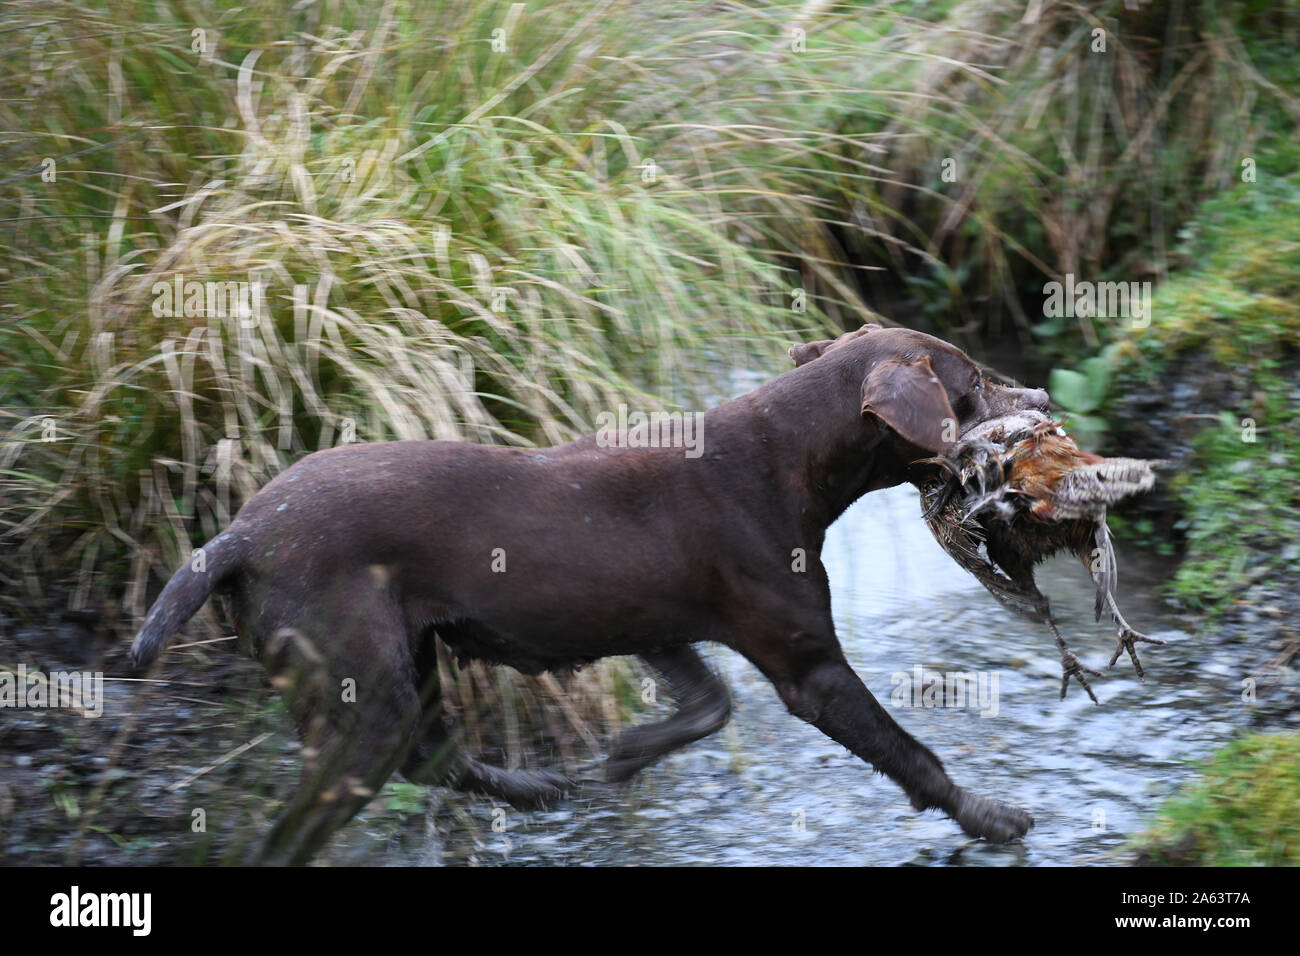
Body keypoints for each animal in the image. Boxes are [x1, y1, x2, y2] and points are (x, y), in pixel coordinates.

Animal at [131, 325, 1045, 863]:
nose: (1038, 397)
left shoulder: (652, 623)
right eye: (975, 383)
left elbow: (709, 703)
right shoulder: (807, 666)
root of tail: (237, 535)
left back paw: (536, 790)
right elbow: (911, 754)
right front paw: (989, 815)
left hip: (401, 665)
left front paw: (630, 752)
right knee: (307, 826)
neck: (782, 457)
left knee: (433, 755)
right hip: (361, 699)